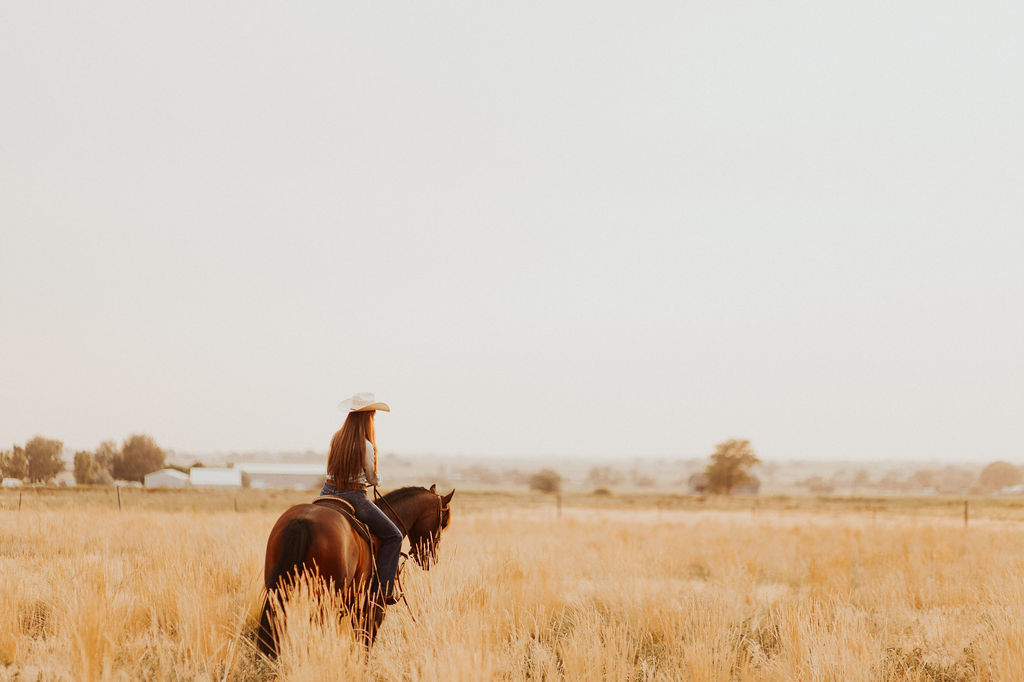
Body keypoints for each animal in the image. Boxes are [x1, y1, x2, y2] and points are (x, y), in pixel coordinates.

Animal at [258, 483, 454, 655]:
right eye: (443, 523)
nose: (431, 558)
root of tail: (303, 521)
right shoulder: (373, 607)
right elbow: (365, 643)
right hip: (324, 600)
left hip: (280, 592)